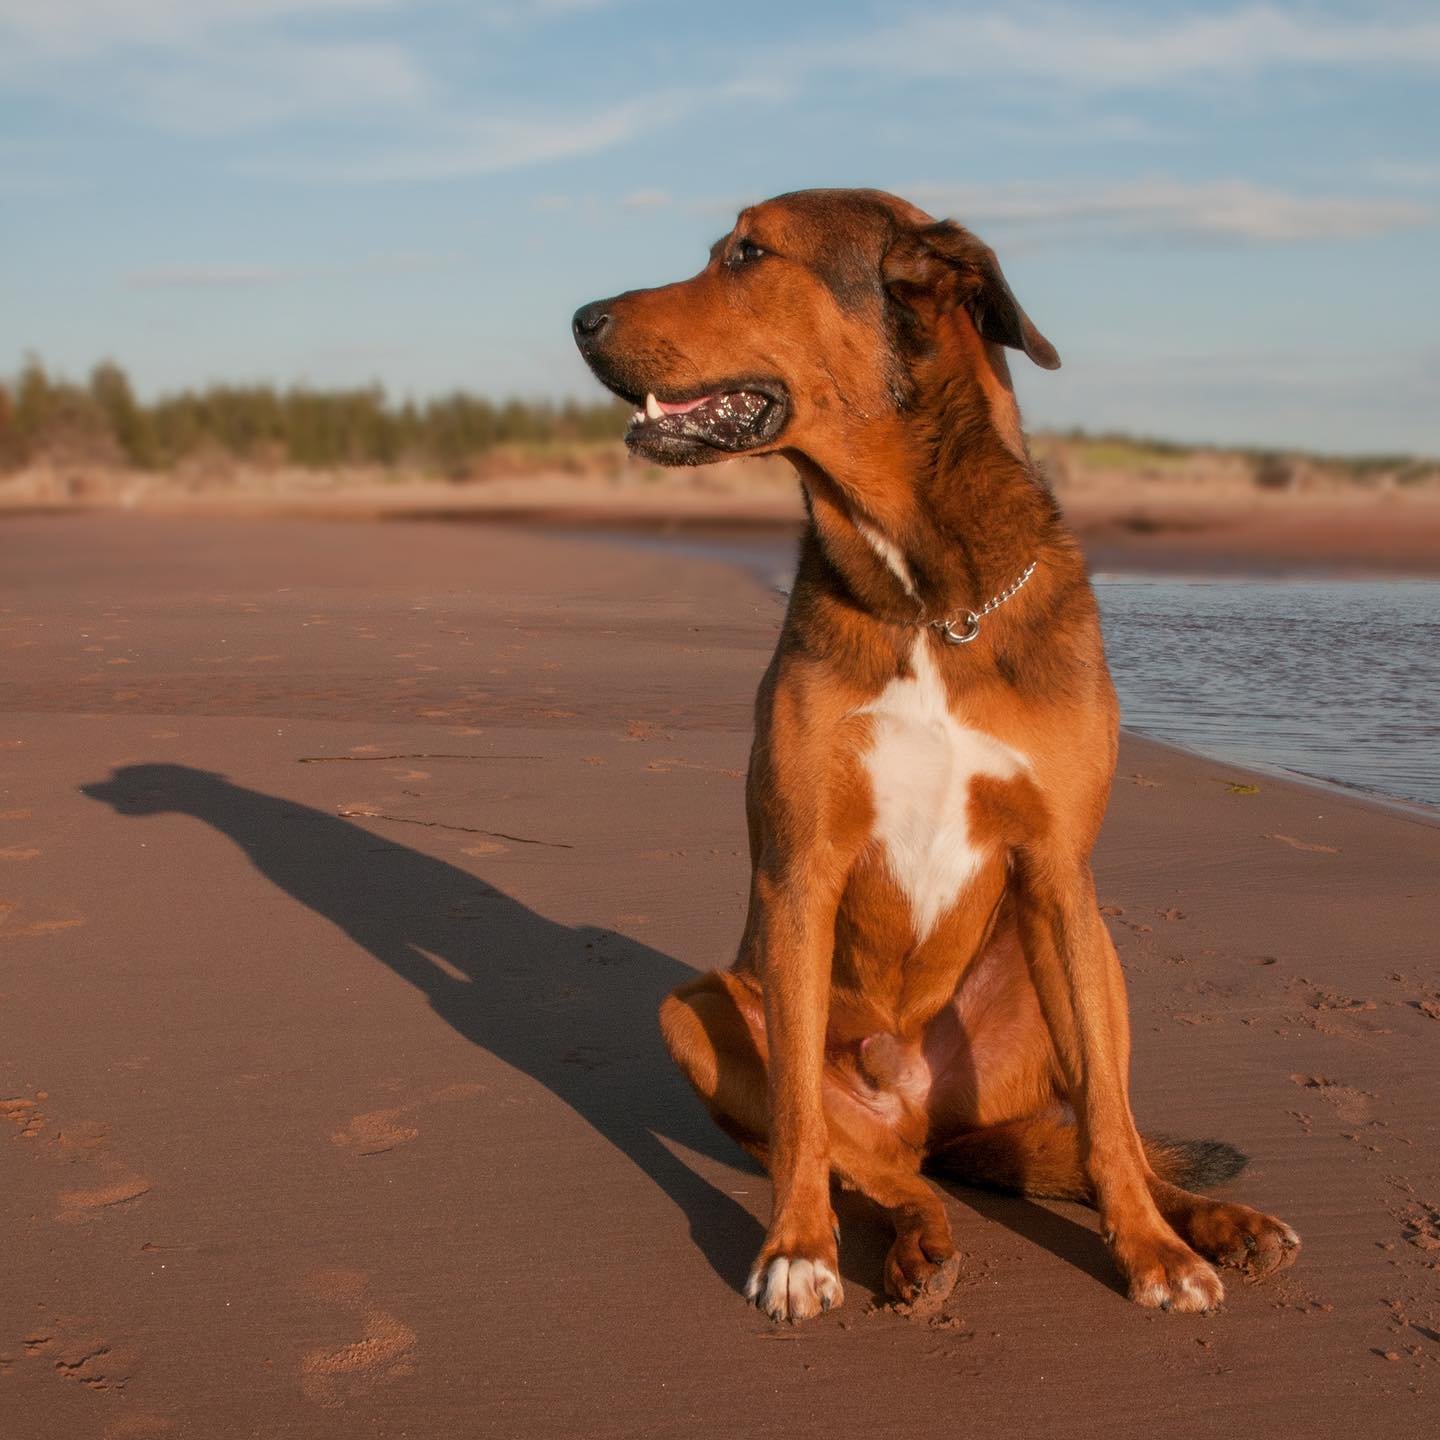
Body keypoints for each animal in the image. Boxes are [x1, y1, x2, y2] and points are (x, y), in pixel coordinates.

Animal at [573, 188, 1307, 1319]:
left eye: (747, 253)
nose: (581, 319)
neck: (930, 597)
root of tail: (925, 1111)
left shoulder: (1057, 868)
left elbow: (1106, 1120)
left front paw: (1152, 1251)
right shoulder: (799, 875)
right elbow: (799, 1112)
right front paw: (796, 1250)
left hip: (1089, 948)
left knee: (1110, 1134)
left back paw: (1212, 1221)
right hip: (694, 1011)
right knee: (881, 1170)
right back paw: (916, 1244)